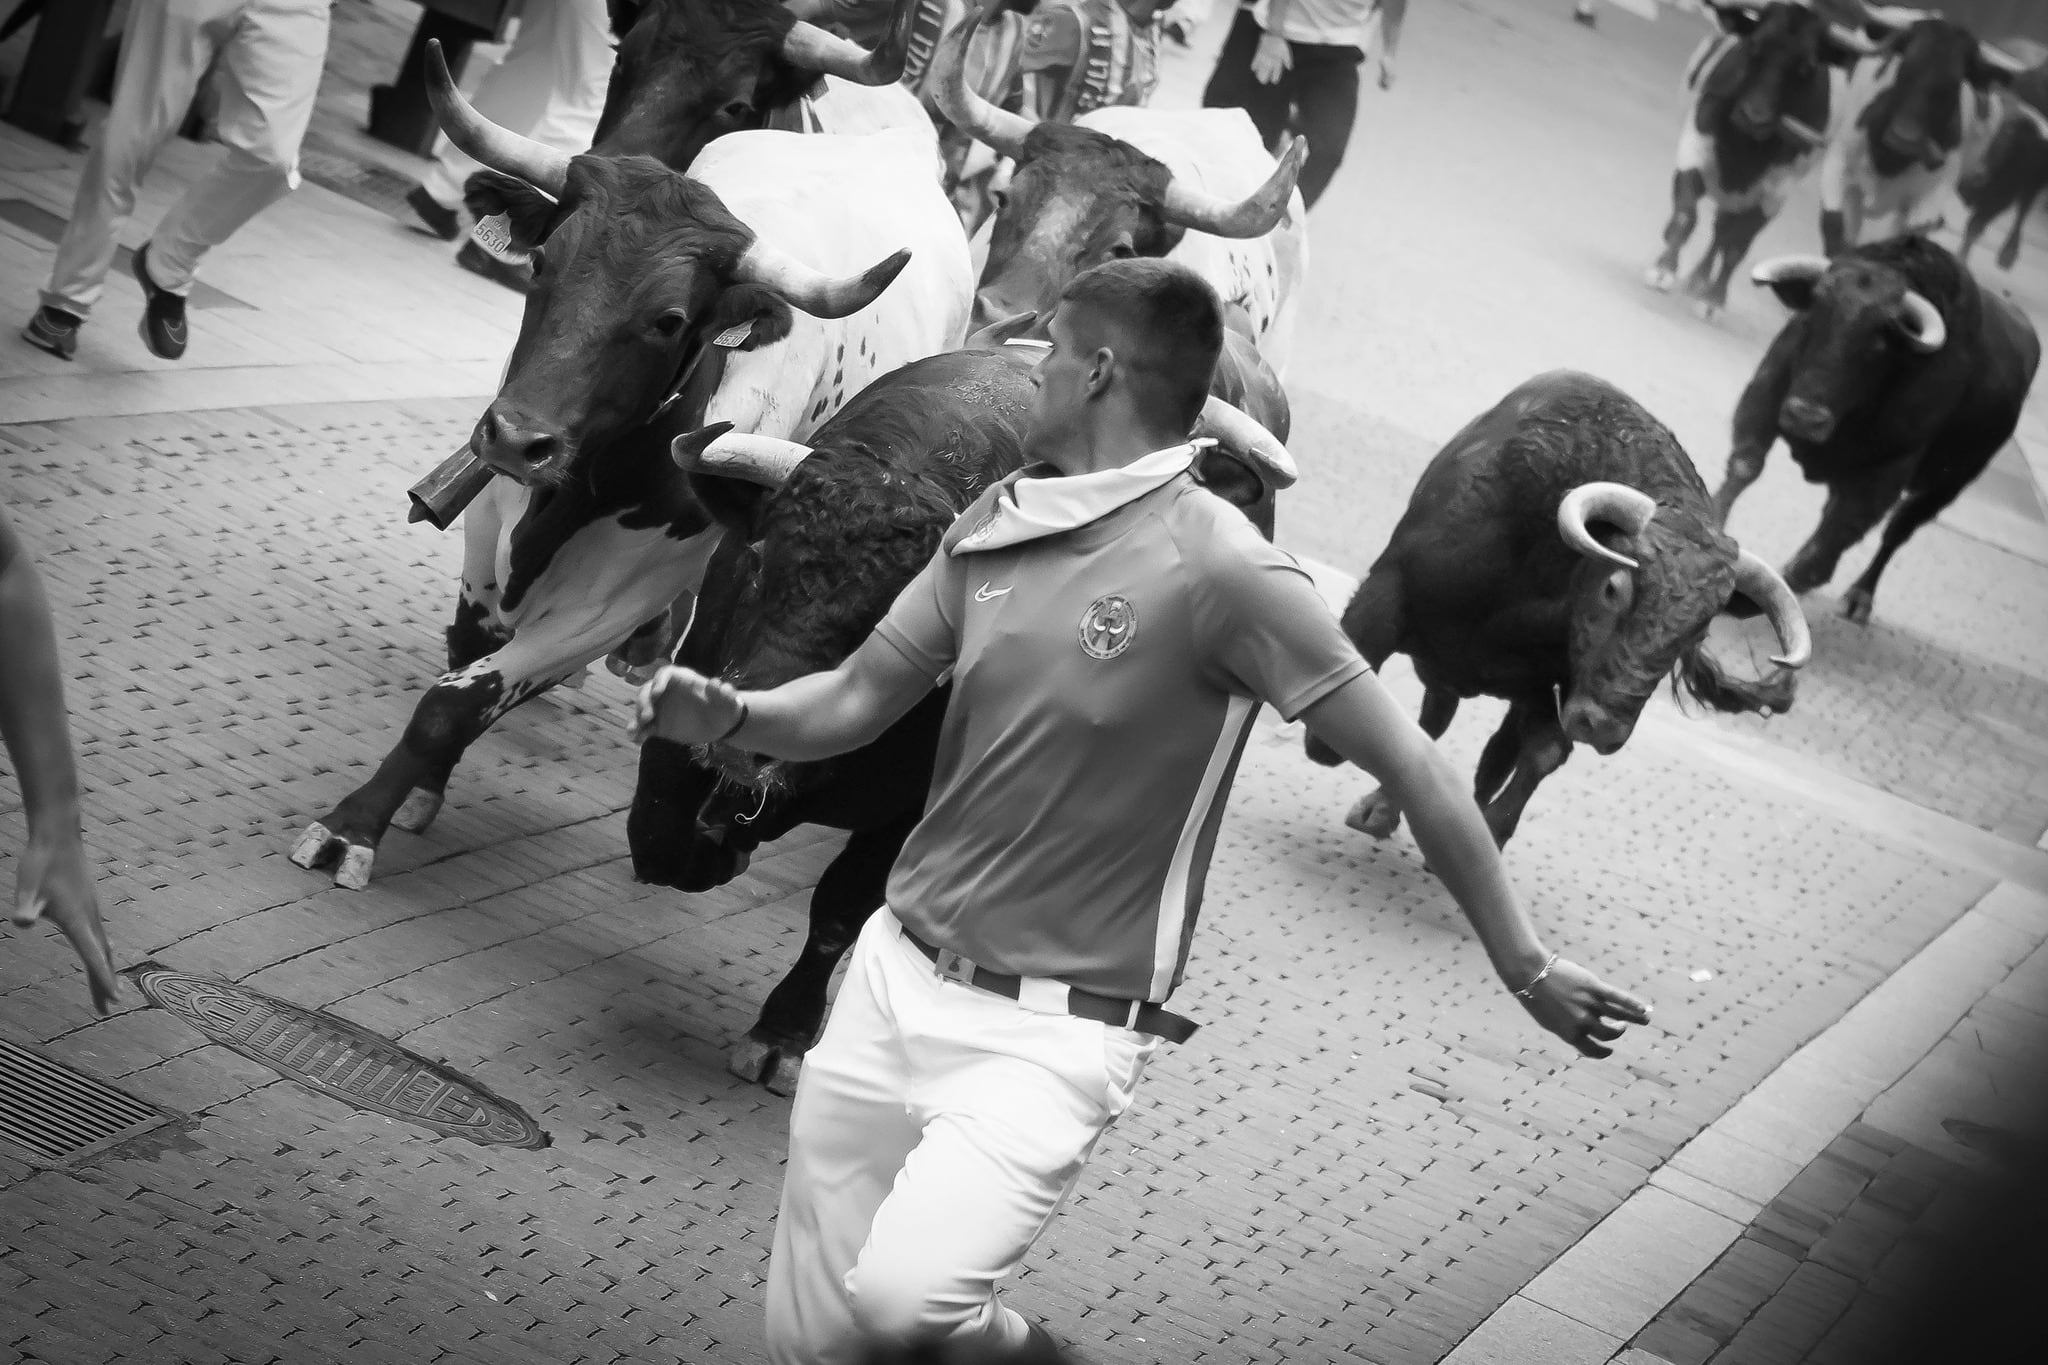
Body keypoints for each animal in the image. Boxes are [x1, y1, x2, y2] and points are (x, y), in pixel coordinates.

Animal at [282, 48, 974, 892]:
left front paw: (355, 826)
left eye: (669, 319)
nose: (516, 437)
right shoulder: (487, 530)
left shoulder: (610, 599)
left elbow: (455, 702)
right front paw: (418, 792)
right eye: (542, 262)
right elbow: (465, 657)